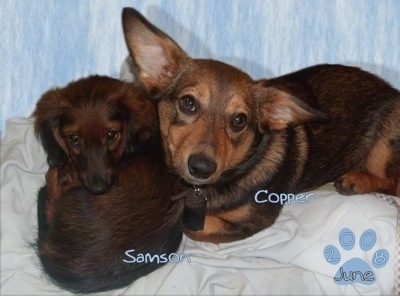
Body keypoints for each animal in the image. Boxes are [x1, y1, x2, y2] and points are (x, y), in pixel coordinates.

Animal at [122, 8, 400, 244]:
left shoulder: (252, 220)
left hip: (383, 147)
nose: (201, 168)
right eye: (188, 103)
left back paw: (358, 180)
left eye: (239, 120)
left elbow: (188, 226)